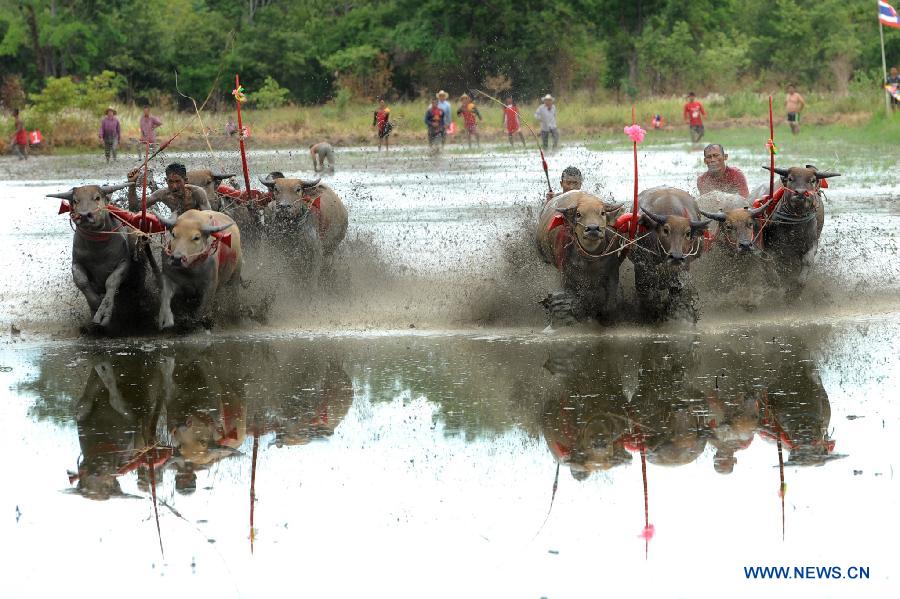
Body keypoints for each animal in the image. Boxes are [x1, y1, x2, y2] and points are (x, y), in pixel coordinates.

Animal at [536, 190, 624, 326]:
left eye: (602, 213)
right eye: (578, 214)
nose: (593, 228)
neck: (590, 260)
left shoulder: (612, 272)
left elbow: (610, 304)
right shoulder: (566, 278)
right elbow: (577, 301)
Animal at [632, 188, 712, 324]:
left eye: (687, 233)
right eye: (666, 230)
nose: (676, 257)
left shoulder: (683, 267)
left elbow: (677, 290)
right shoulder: (643, 264)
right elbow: (646, 289)